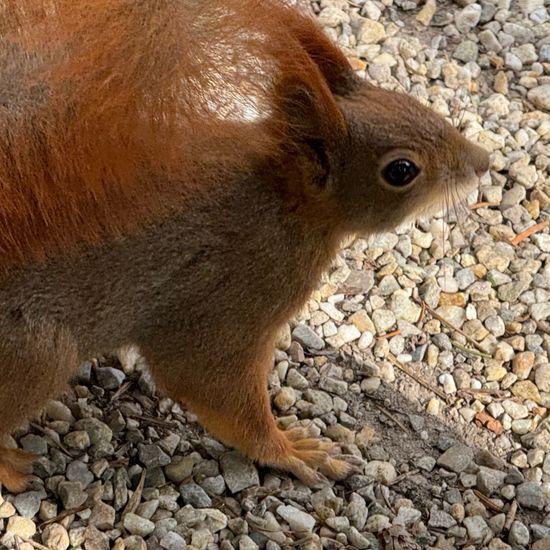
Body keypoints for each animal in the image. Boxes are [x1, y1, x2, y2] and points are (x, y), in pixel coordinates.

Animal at [0, 0, 492, 492]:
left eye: (411, 103)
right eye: (401, 170)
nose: (483, 164)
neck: (283, 205)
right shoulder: (235, 292)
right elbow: (205, 379)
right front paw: (290, 450)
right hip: (36, 354)